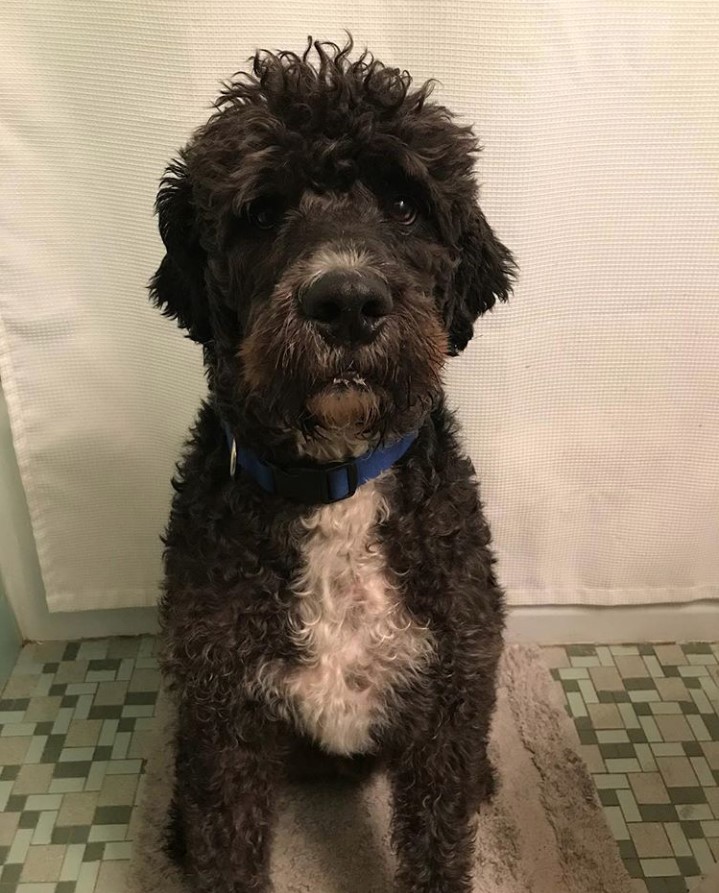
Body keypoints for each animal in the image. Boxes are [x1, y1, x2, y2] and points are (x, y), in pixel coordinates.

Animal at [152, 38, 516, 892]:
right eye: (260, 211)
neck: (333, 483)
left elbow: (437, 840)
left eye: (405, 203)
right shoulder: (224, 717)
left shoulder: (447, 696)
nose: (346, 301)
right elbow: (226, 846)